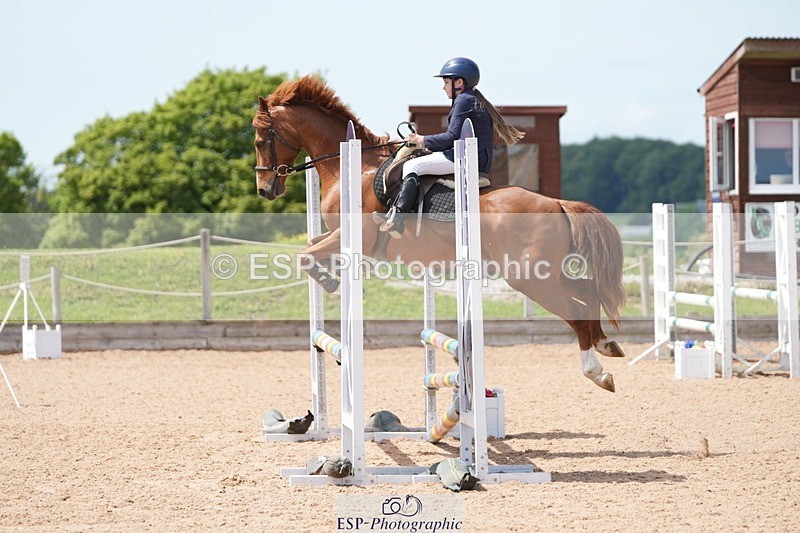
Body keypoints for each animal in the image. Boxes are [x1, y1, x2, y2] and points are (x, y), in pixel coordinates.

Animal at [252, 75, 626, 392]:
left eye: (259, 140)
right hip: (547, 273)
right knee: (588, 294)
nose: (264, 189)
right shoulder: (339, 236)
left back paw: (596, 371)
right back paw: (606, 344)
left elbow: (306, 256)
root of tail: (557, 203)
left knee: (574, 310)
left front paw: (332, 283)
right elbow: (310, 248)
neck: (353, 169)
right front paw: (333, 279)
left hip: (529, 278)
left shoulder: (354, 235)